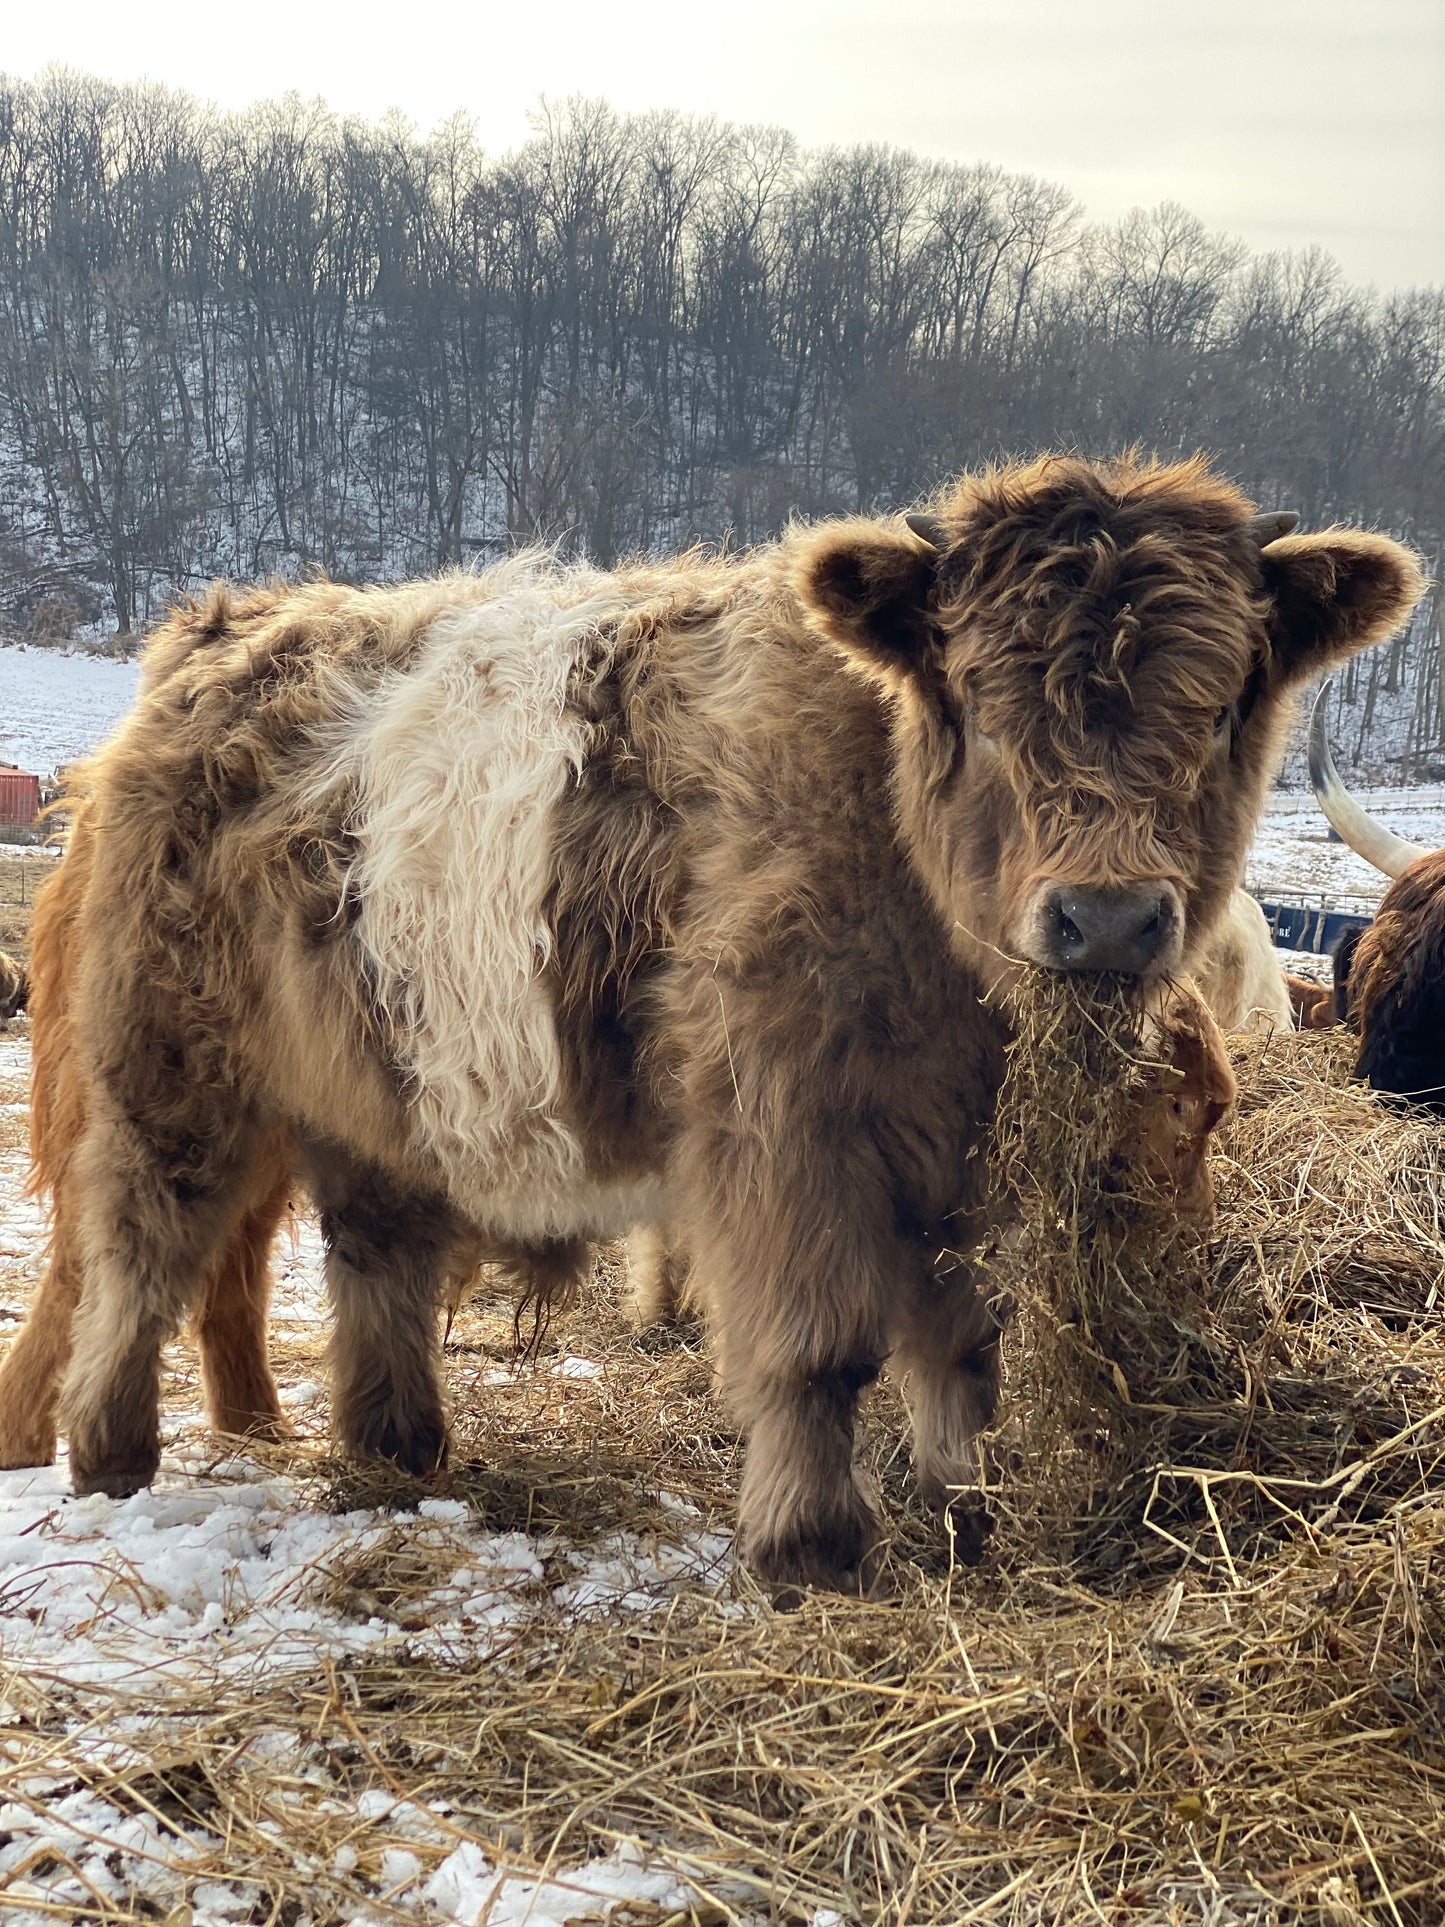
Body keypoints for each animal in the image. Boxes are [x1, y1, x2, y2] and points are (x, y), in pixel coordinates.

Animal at [0, 455, 1421, 1595]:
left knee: (375, 1252)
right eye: (978, 696)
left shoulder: (956, 1157)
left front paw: (963, 1516)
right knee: (141, 1248)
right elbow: (821, 1347)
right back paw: (112, 1454)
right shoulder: (784, 1130)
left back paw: (399, 1449)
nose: (1109, 919)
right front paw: (811, 1548)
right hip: (170, 1067)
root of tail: (217, 636)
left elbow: (959, 1345)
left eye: (1224, 700)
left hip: (377, 1078)